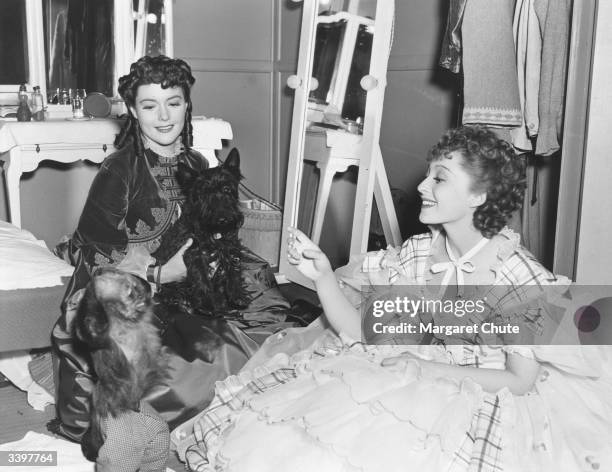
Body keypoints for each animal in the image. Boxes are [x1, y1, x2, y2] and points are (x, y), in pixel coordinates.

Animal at [152, 149, 249, 316]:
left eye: (227, 189)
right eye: (204, 193)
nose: (222, 219)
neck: (214, 233)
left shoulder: (231, 248)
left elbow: (234, 271)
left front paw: (236, 296)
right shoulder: (195, 254)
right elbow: (201, 280)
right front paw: (208, 305)